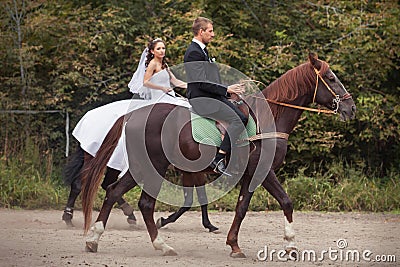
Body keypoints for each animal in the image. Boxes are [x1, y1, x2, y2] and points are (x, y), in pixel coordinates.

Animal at [79, 54, 354, 258]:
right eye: (330, 78)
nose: (350, 108)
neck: (269, 118)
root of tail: (134, 114)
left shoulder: (249, 175)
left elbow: (241, 207)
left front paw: (234, 245)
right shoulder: (264, 172)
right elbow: (286, 201)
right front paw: (291, 245)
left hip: (146, 167)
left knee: (119, 193)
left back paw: (101, 240)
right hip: (153, 166)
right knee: (135, 199)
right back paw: (152, 243)